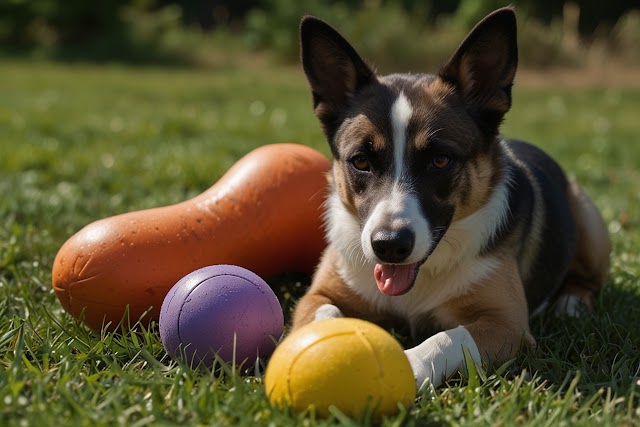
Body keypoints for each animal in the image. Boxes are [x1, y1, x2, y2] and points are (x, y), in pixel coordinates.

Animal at [290, 6, 608, 390]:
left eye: (440, 160)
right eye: (361, 161)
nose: (389, 245)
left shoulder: (507, 324)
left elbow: (449, 338)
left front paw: (408, 366)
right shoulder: (316, 297)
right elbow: (325, 317)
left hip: (589, 218)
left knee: (589, 280)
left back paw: (570, 303)